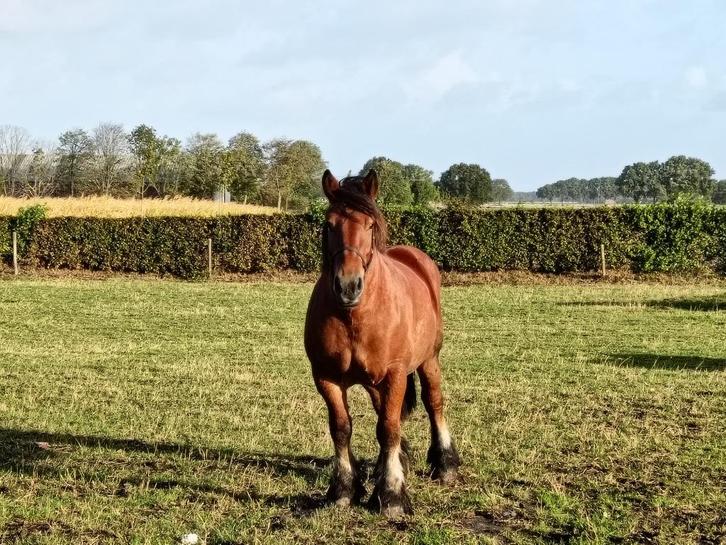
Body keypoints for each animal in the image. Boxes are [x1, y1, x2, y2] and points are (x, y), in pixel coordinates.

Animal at [304, 169, 461, 517]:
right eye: (329, 224)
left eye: (370, 225)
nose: (348, 286)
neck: (353, 316)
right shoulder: (326, 378)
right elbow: (342, 427)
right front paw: (343, 490)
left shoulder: (395, 374)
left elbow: (388, 428)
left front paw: (391, 495)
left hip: (428, 360)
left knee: (433, 402)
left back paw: (445, 464)